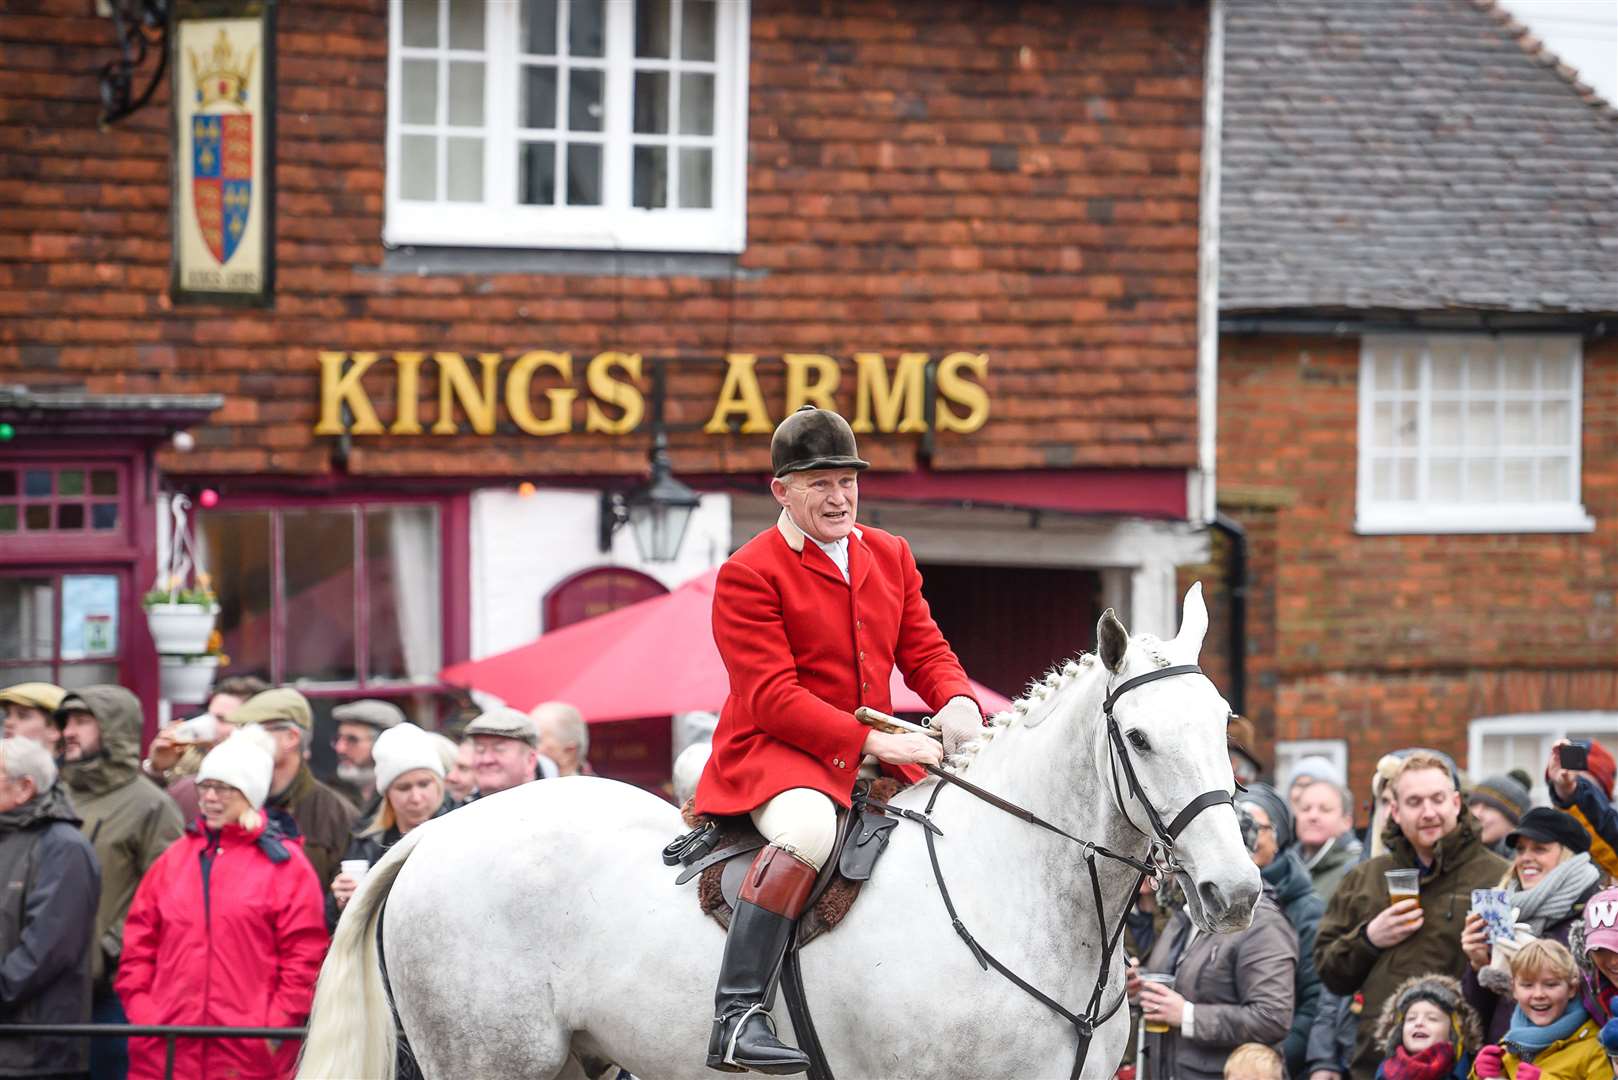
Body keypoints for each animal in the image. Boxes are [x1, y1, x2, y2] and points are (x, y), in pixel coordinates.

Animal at [304, 586, 1262, 1080]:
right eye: (1139, 737)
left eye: (1222, 722)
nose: (1237, 892)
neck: (1011, 895)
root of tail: (438, 834)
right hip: (488, 1061)